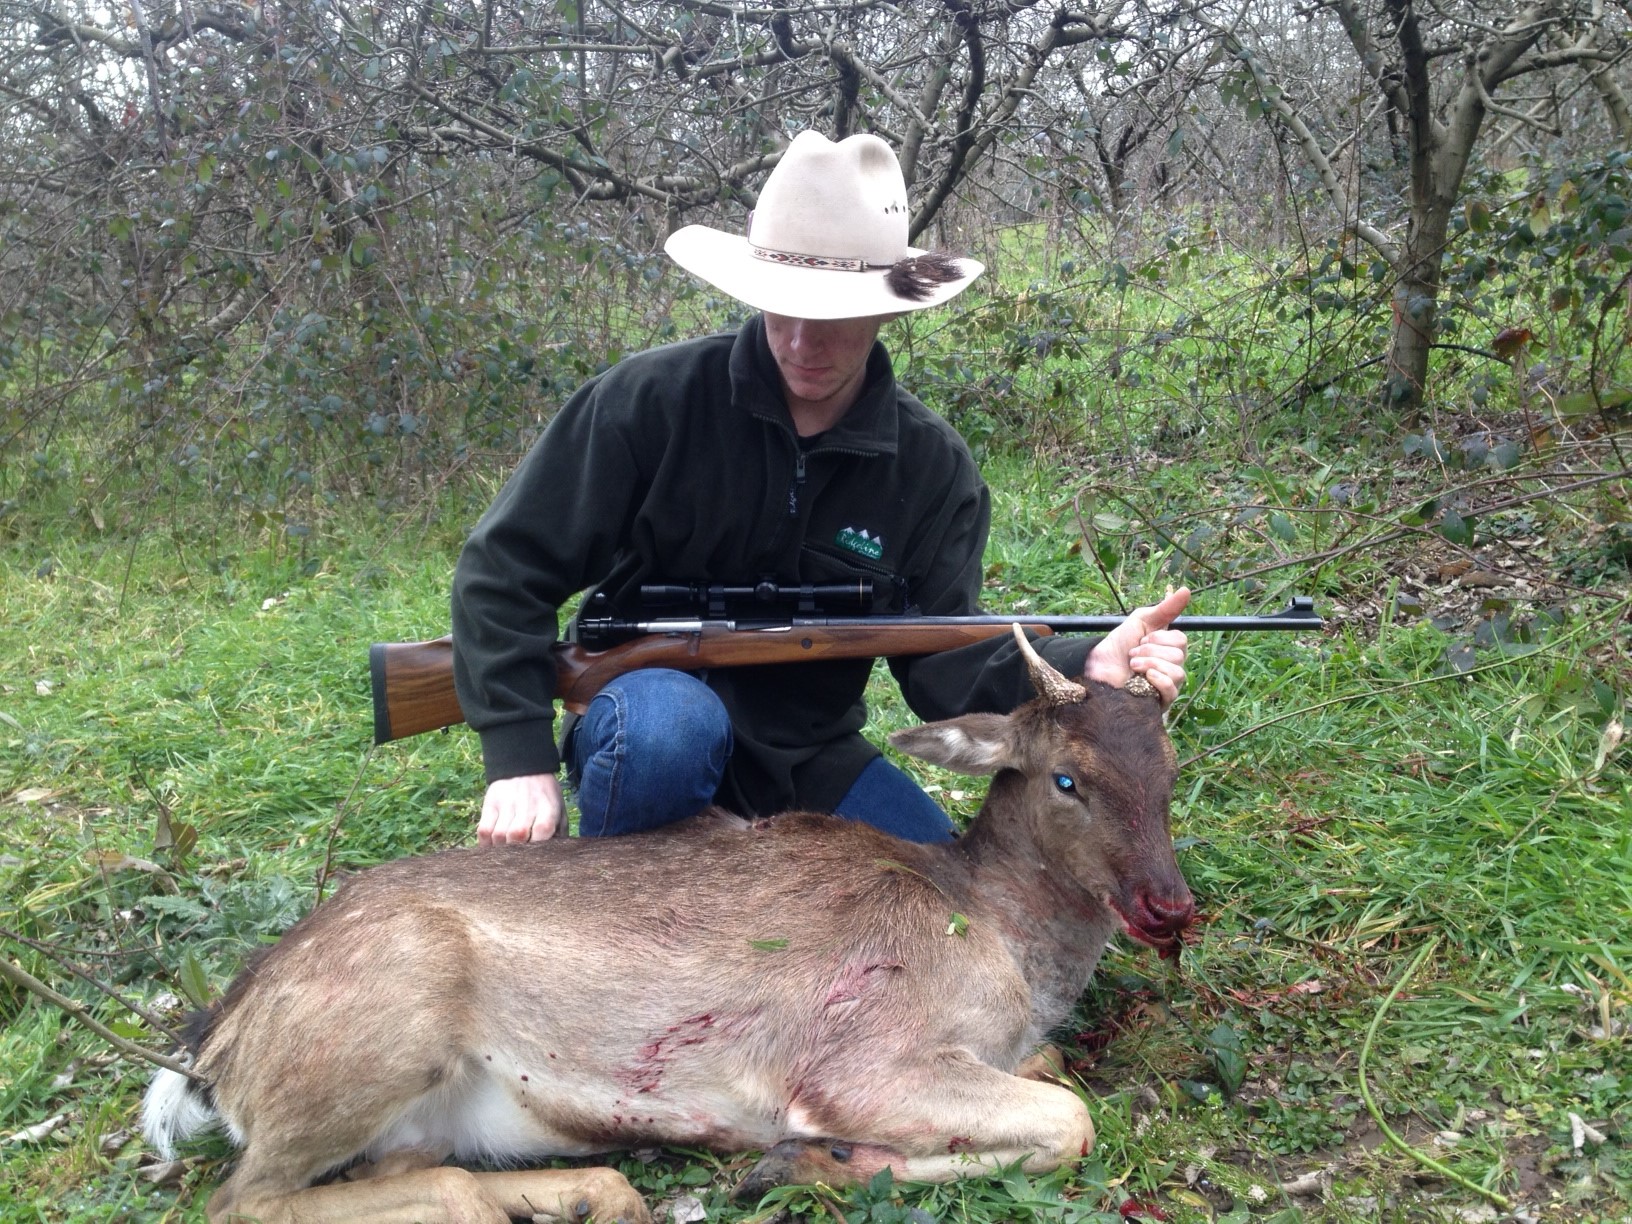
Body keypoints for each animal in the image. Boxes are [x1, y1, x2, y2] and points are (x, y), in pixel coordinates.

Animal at [142, 627, 1196, 1224]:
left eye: (1171, 768)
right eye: (1067, 778)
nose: (1169, 905)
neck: (997, 942)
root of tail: (213, 1044)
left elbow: (1058, 1086)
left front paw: (811, 1164)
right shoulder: (860, 1057)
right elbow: (1072, 1118)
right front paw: (811, 1159)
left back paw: (589, 1193)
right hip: (377, 1027)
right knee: (237, 1203)